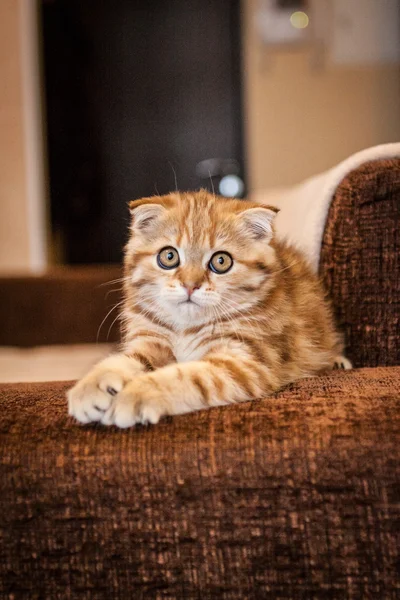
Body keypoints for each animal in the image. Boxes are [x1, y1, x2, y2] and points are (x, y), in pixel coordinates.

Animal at [69, 190, 350, 428]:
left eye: (221, 261)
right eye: (169, 257)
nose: (190, 285)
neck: (186, 327)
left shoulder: (247, 363)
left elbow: (189, 376)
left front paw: (137, 394)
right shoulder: (151, 341)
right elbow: (126, 359)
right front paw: (92, 385)